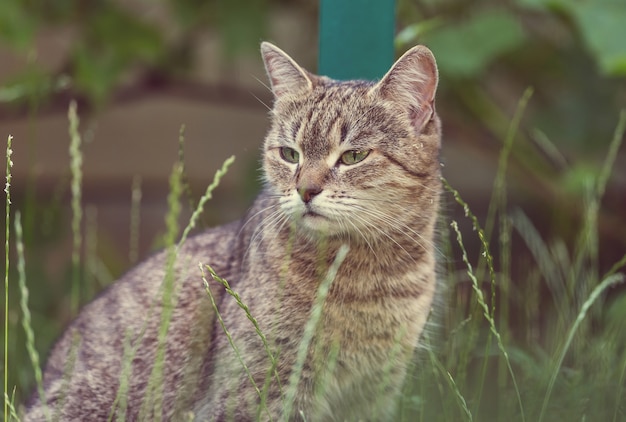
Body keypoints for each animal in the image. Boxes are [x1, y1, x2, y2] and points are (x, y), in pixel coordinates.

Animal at [25, 40, 438, 422]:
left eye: (353, 156)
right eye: (290, 154)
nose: (305, 190)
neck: (368, 275)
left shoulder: (373, 393)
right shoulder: (262, 390)